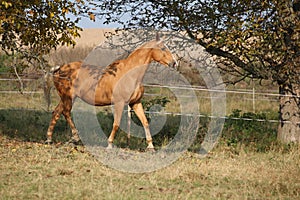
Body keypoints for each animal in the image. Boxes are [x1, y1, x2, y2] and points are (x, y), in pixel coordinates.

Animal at [45, 35, 177, 150]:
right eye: (163, 48)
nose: (174, 63)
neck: (131, 74)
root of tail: (59, 69)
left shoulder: (135, 103)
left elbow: (145, 122)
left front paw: (150, 146)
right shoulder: (119, 103)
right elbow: (116, 124)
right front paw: (109, 144)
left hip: (66, 98)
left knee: (56, 112)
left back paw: (49, 139)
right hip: (68, 97)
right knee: (66, 112)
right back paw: (75, 137)